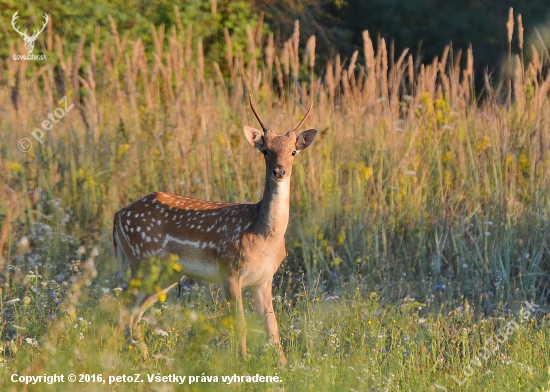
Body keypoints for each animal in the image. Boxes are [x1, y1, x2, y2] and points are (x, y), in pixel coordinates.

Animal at [113, 96, 320, 366]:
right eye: (265, 151)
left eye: (293, 151)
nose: (279, 171)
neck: (263, 235)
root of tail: (118, 214)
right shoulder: (229, 270)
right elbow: (240, 324)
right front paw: (243, 363)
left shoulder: (264, 279)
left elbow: (272, 327)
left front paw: (285, 366)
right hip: (142, 260)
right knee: (121, 307)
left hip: (166, 274)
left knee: (134, 313)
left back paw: (143, 357)